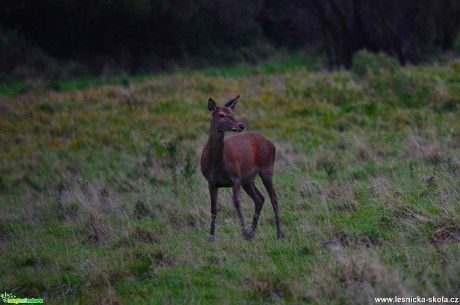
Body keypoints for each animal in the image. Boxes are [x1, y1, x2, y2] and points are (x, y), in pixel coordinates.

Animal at [201, 94, 284, 241]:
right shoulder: (211, 182)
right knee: (260, 199)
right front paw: (211, 236)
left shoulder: (235, 177)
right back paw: (252, 233)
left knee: (273, 198)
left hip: (267, 168)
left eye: (233, 113)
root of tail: (271, 143)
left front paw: (243, 232)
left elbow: (237, 203)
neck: (215, 164)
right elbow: (213, 209)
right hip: (248, 179)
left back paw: (279, 233)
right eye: (222, 115)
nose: (241, 125)